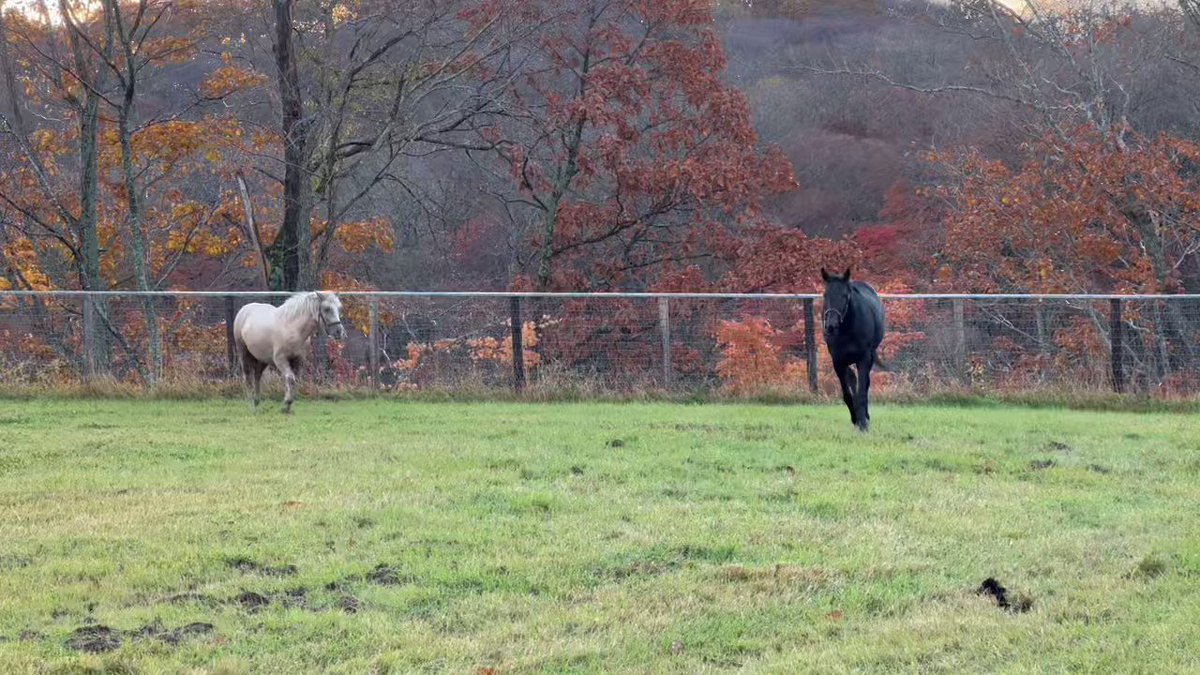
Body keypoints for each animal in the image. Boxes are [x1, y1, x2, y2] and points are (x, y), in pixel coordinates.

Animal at [820, 265, 888, 427]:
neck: (847, 330)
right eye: (825, 295)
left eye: (845, 295)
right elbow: (847, 394)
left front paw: (863, 423)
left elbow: (862, 391)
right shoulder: (838, 362)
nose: (831, 326)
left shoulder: (863, 359)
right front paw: (855, 419)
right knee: (852, 379)